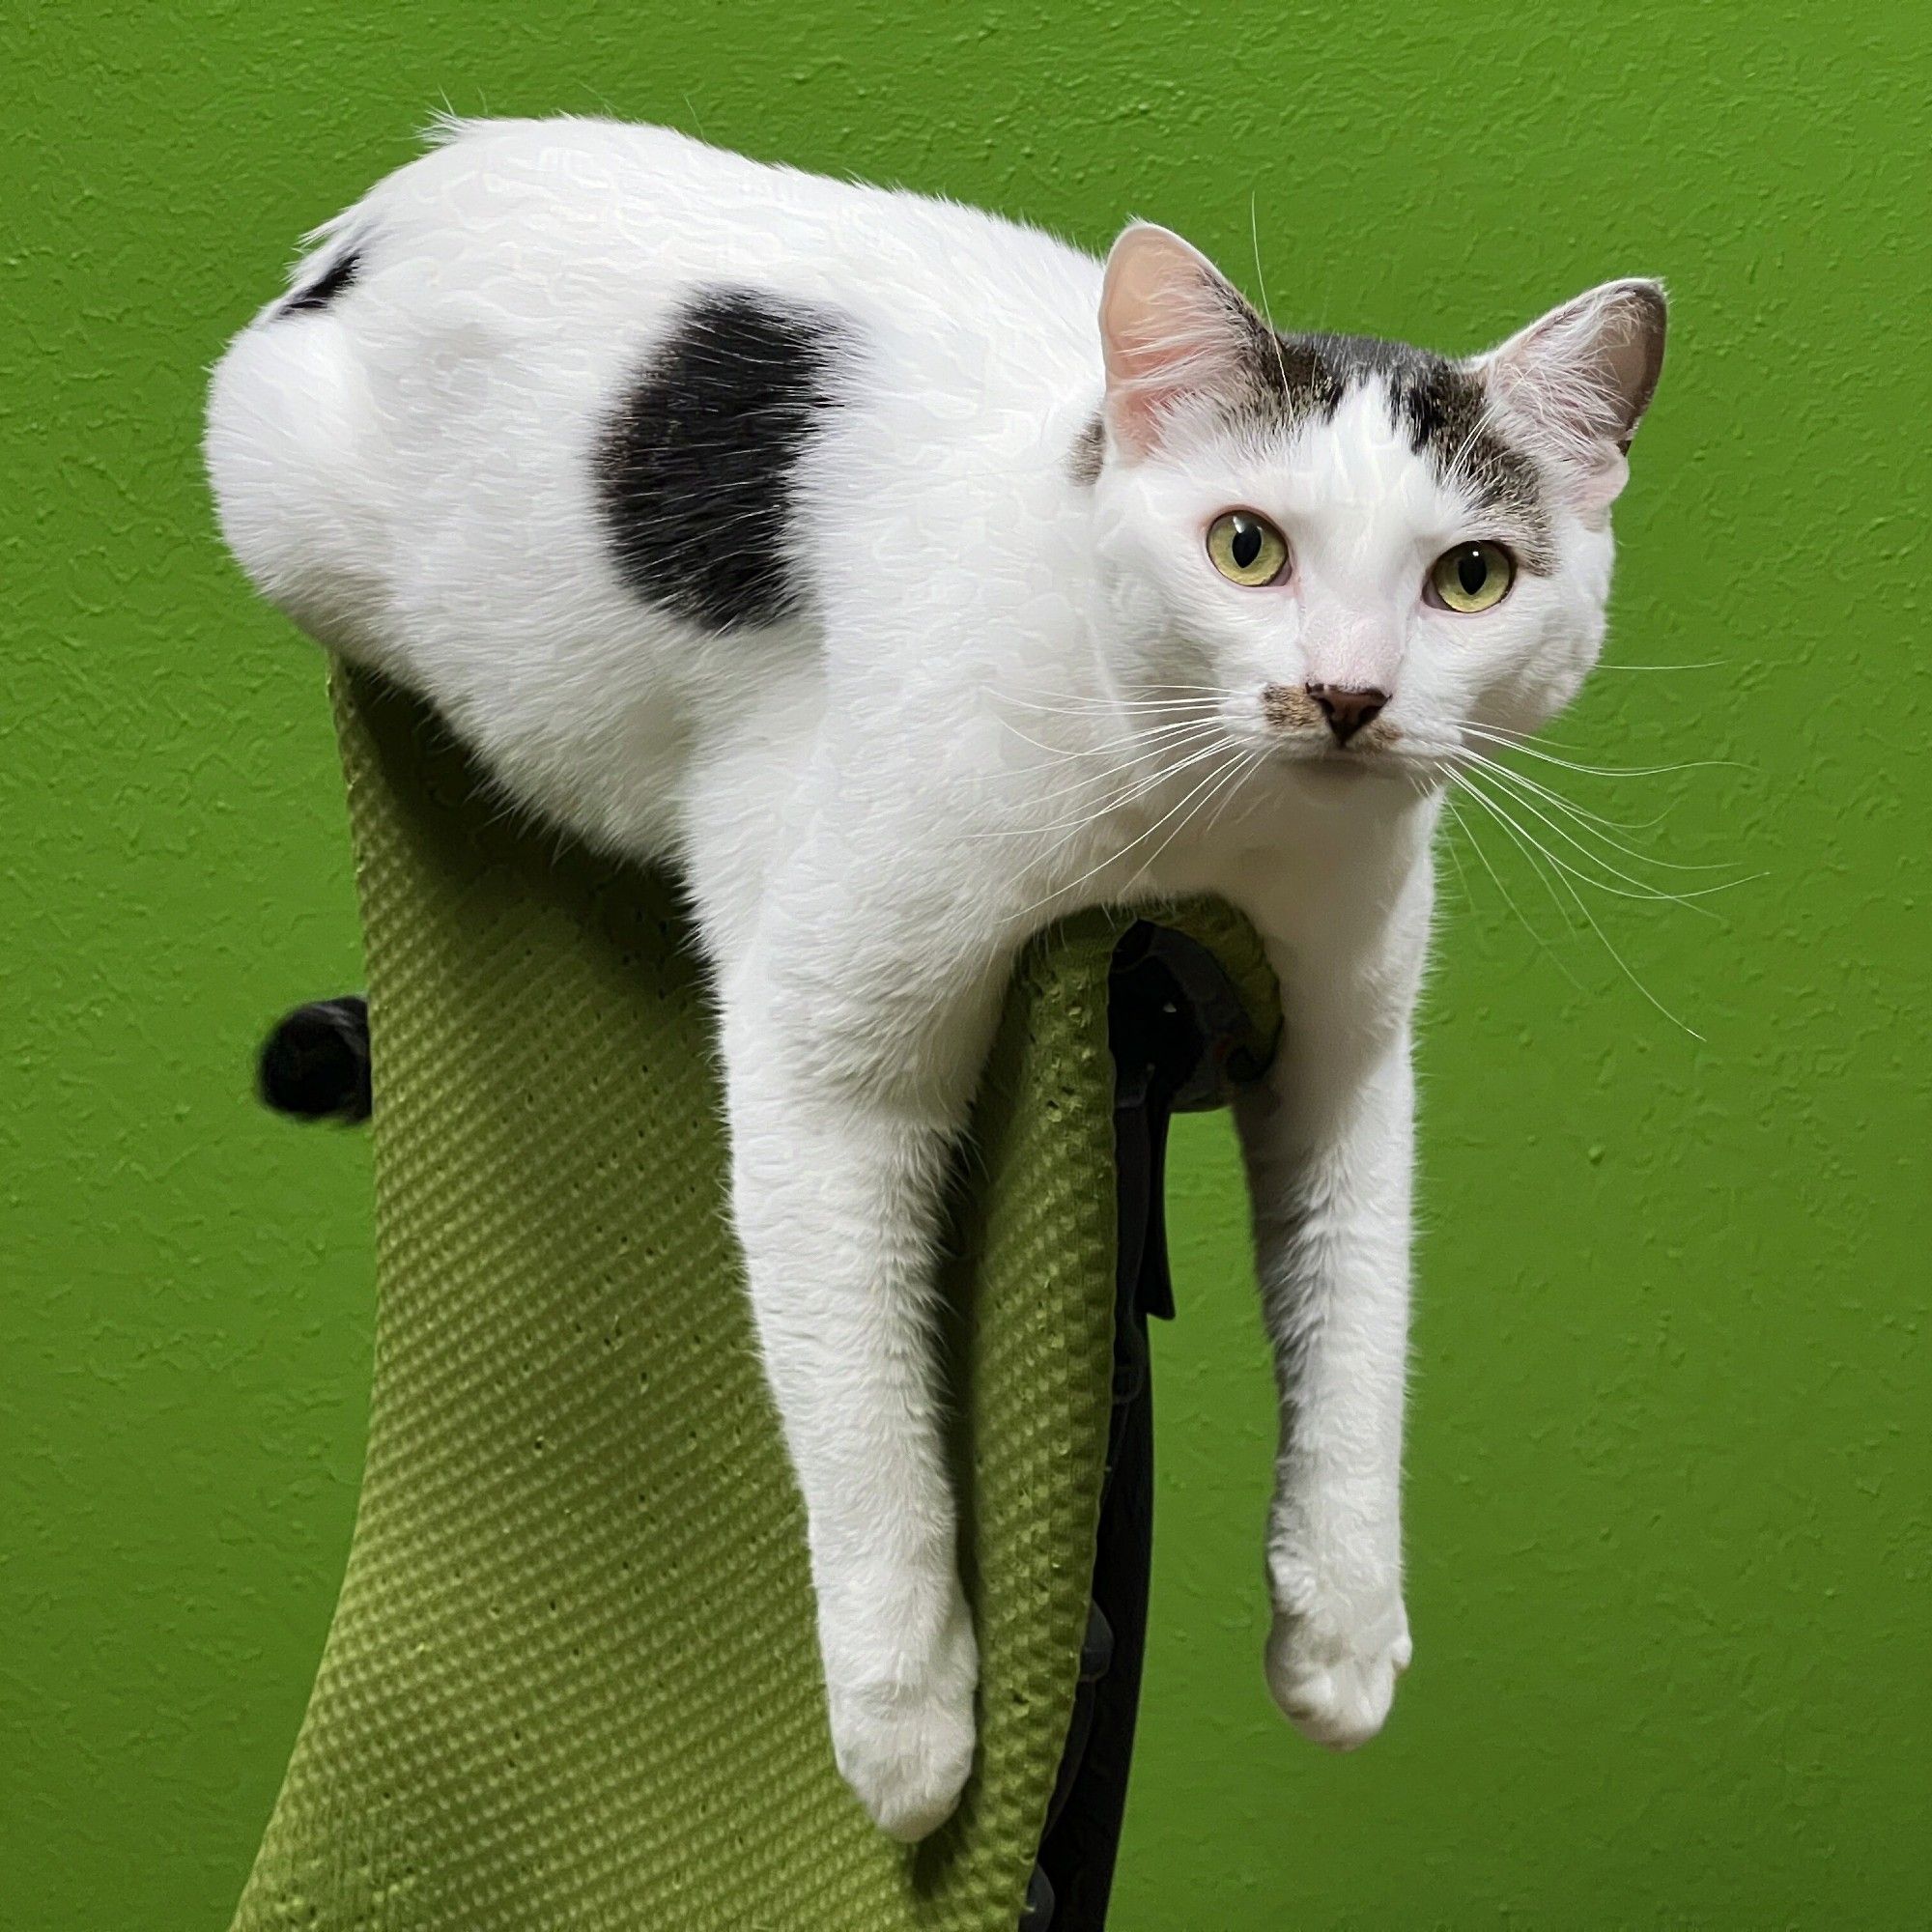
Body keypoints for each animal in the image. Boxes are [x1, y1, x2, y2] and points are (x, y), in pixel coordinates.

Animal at [208, 113, 1662, 1832]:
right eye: (1247, 548)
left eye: (1473, 580)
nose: (1346, 696)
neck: (1202, 831)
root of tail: (412, 182)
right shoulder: (827, 1049)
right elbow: (862, 1407)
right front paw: (906, 1726)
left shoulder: (1344, 1059)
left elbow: (1358, 1323)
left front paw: (1344, 1635)